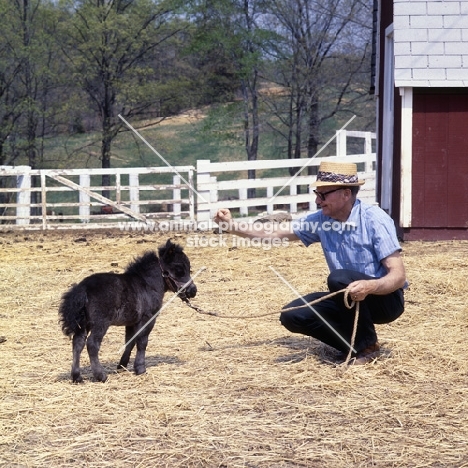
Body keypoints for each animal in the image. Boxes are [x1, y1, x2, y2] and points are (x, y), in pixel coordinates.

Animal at [59, 239, 197, 382]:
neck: (147, 284)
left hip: (83, 324)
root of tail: (83, 288)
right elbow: (142, 341)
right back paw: (100, 375)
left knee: (78, 342)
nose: (193, 291)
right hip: (100, 323)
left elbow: (130, 341)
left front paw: (122, 366)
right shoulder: (148, 318)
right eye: (179, 269)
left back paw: (77, 377)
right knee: (92, 344)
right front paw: (140, 369)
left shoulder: (131, 322)